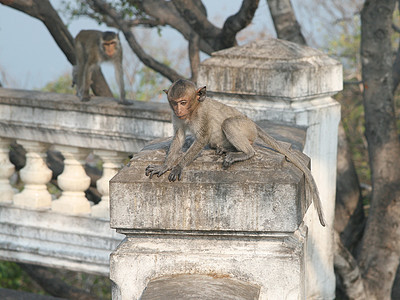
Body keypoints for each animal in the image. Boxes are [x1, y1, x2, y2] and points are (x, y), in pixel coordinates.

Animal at [145, 78, 326, 226]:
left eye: (183, 102)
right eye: (174, 103)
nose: (178, 110)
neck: (193, 111)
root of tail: (253, 124)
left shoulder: (202, 115)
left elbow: (202, 138)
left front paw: (178, 166)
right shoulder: (178, 119)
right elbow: (179, 136)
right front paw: (164, 166)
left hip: (246, 128)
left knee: (229, 123)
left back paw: (245, 152)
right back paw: (223, 148)